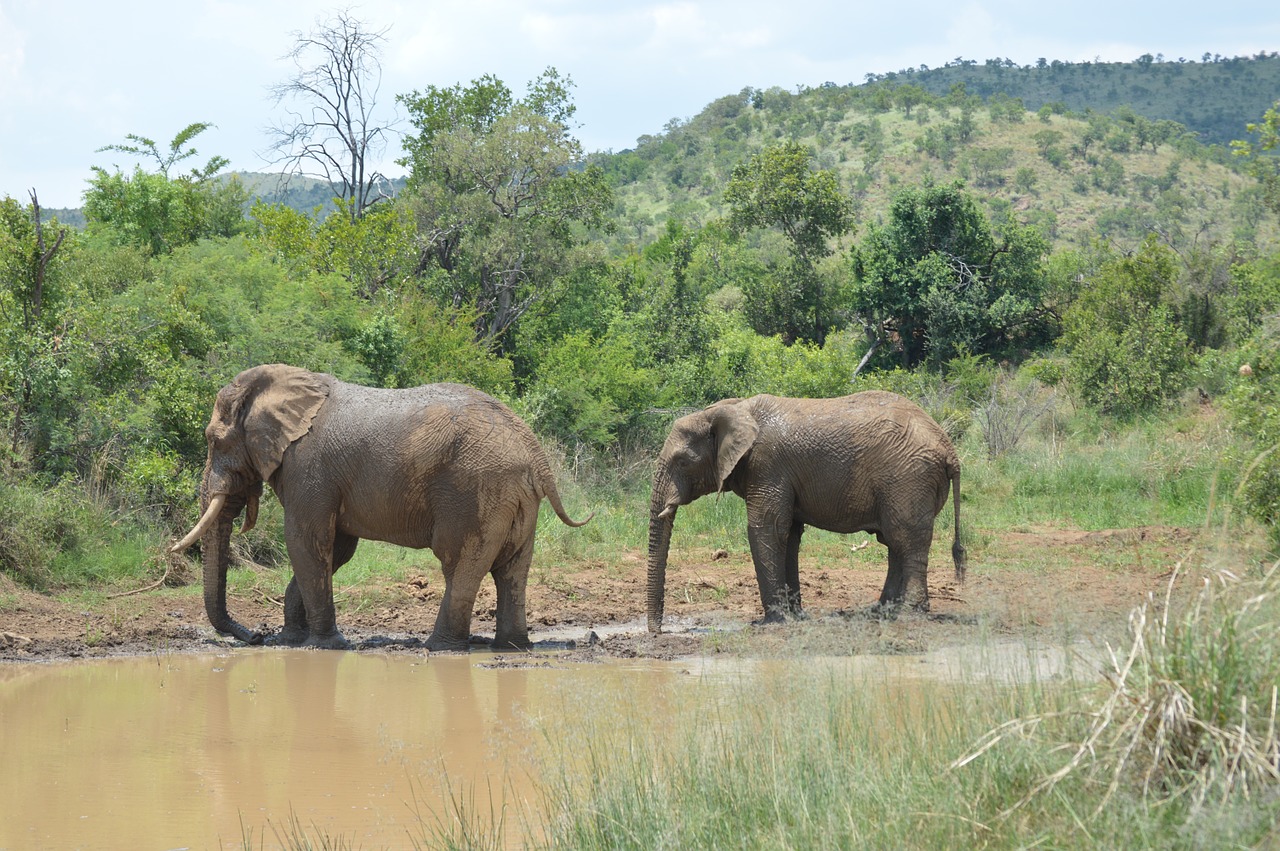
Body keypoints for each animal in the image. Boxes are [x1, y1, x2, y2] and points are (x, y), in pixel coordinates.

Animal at [172, 363, 591, 650]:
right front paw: (291, 640)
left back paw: (439, 648)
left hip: (476, 491)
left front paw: (324, 645)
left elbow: (306, 541)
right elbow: (336, 549)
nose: (256, 637)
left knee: (458, 560)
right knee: (512, 569)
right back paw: (512, 646)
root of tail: (535, 453)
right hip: (516, 498)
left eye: (213, 440)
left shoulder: (308, 467)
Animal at [645, 391, 962, 629]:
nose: (657, 631)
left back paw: (908, 614)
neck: (731, 408)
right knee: (895, 542)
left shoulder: (767, 465)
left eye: (683, 461)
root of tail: (949, 450)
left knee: (906, 540)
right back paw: (881, 612)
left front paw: (772, 622)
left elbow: (766, 528)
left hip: (909, 478)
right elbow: (789, 535)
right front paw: (796, 616)